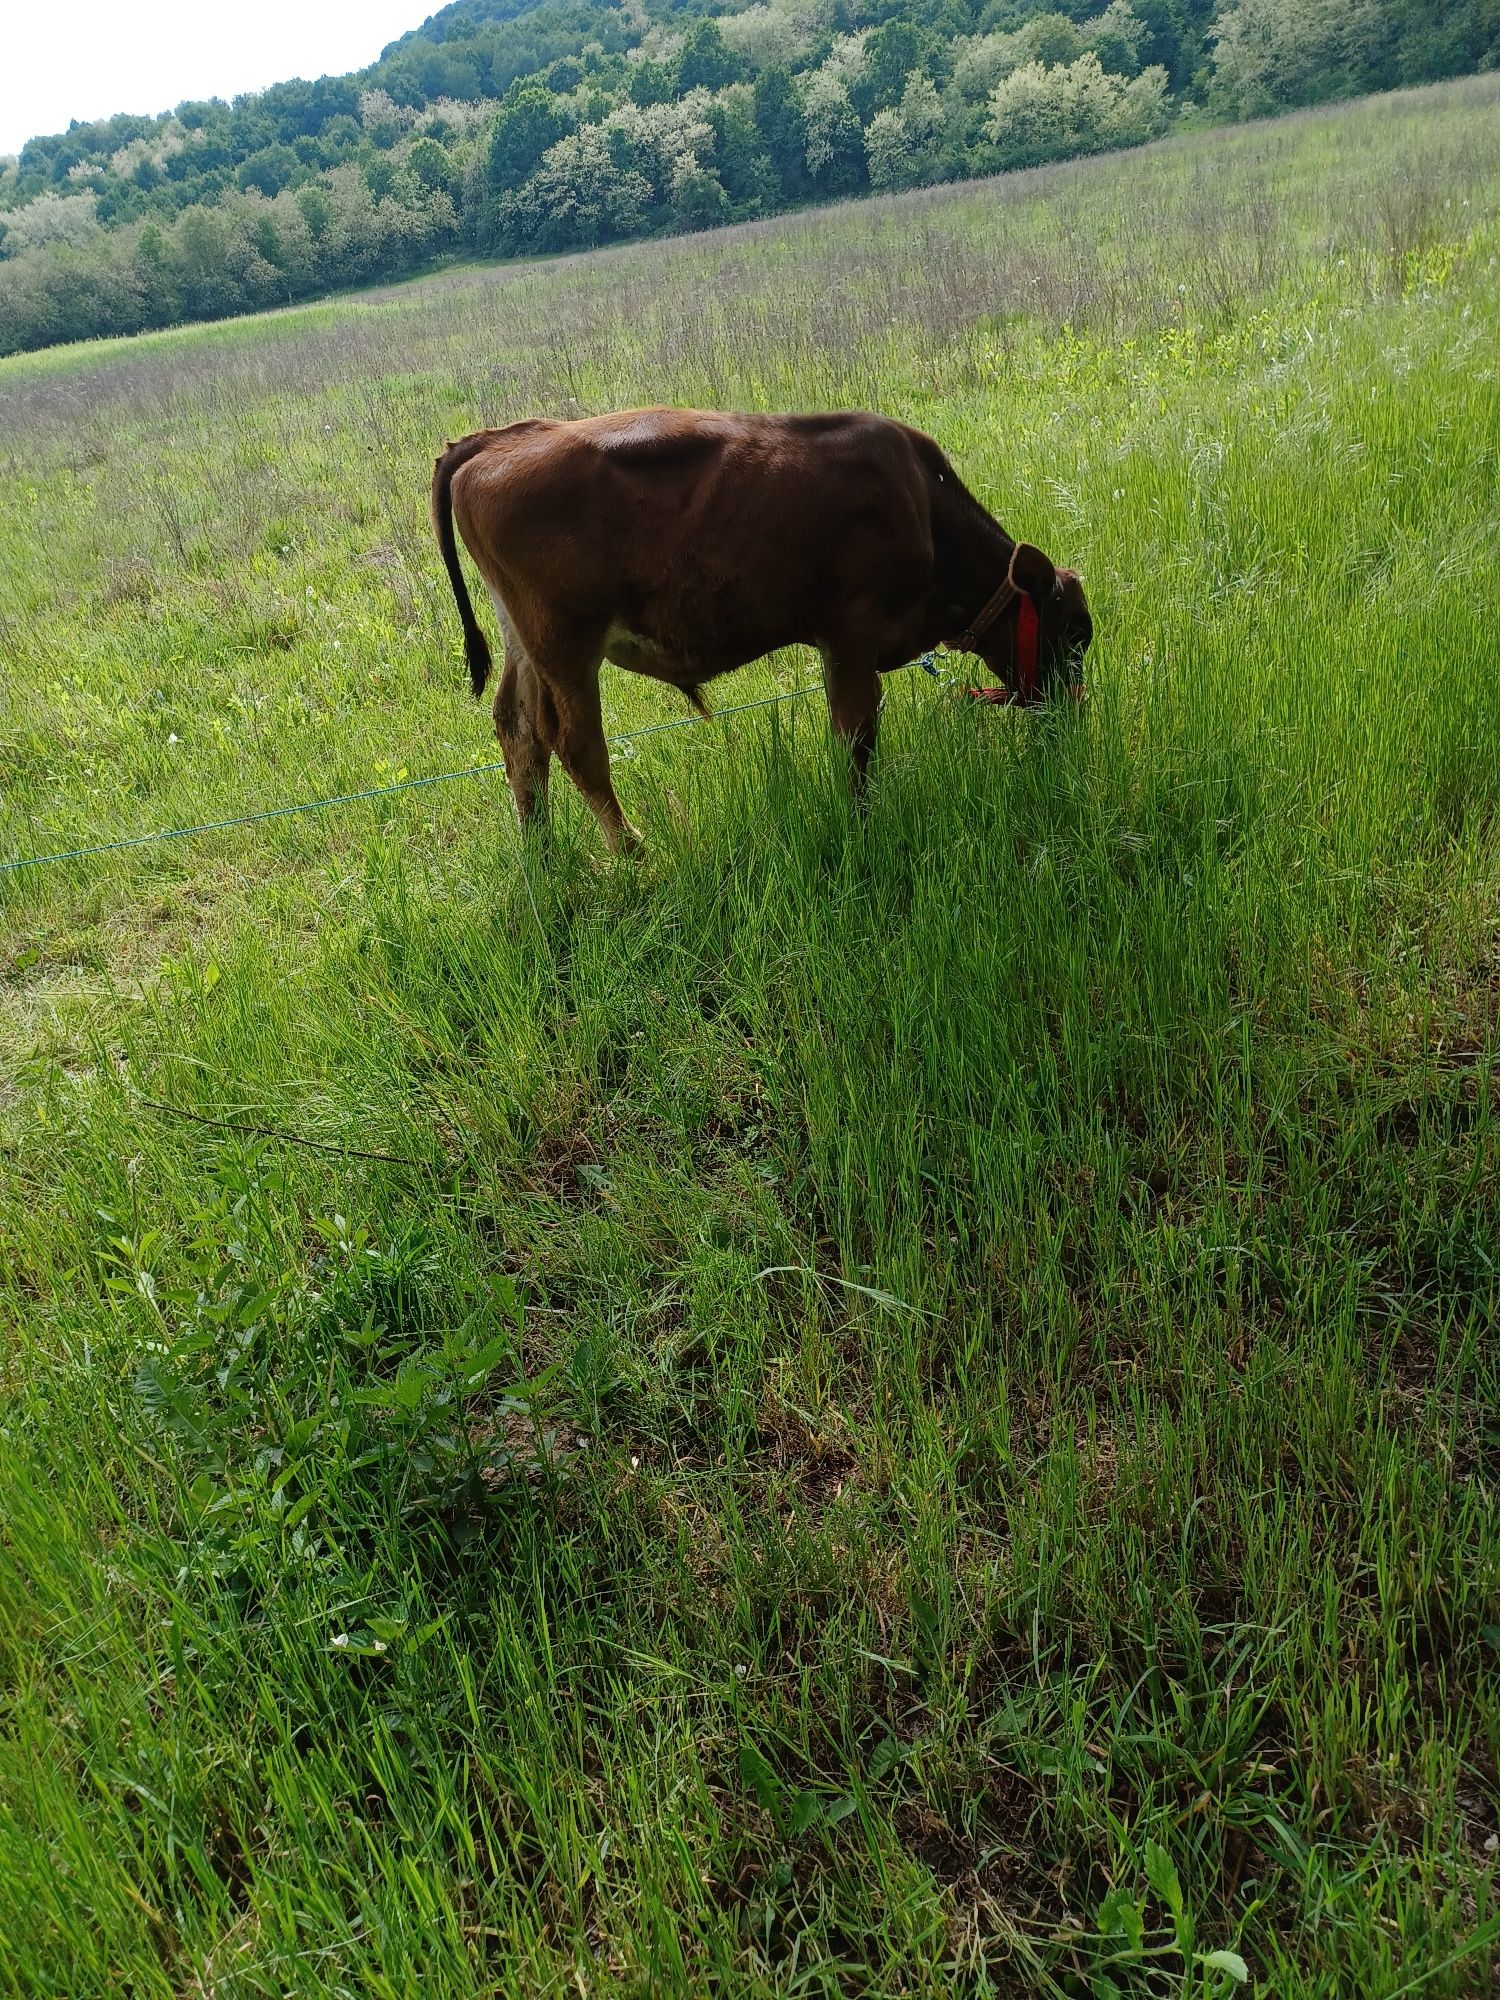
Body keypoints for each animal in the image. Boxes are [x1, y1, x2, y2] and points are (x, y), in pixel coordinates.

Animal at [432, 406, 1096, 852]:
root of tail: (495, 440)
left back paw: (542, 854)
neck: (924, 507)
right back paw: (635, 853)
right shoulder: (850, 636)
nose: (1073, 711)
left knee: (519, 733)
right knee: (574, 744)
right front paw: (861, 823)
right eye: (1075, 633)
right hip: (565, 644)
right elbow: (856, 737)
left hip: (525, 644)